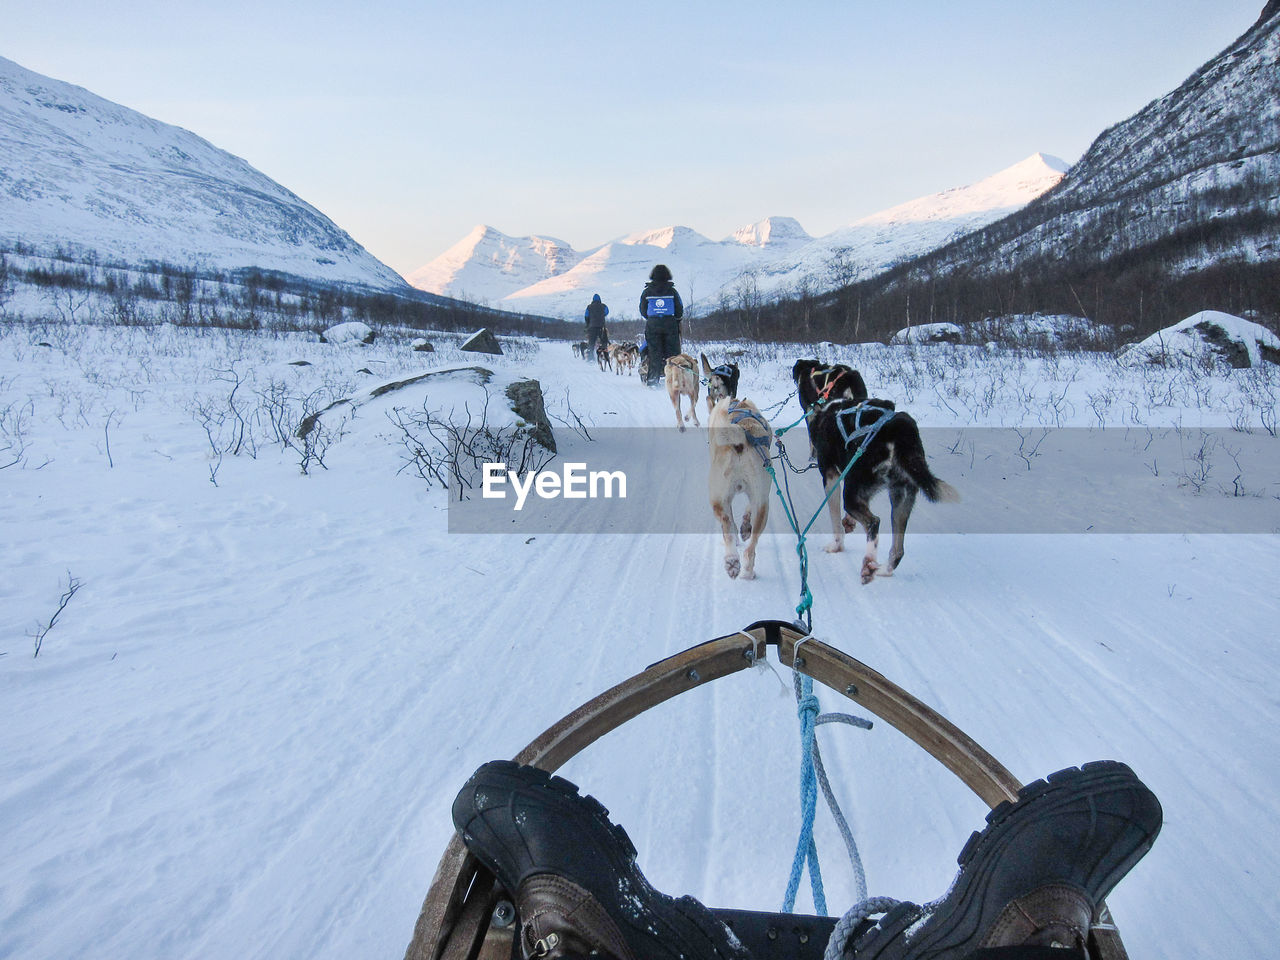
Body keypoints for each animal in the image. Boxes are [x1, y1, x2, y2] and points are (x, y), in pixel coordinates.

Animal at [711, 396, 768, 578]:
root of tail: (740, 443)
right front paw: (744, 527)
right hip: (762, 505)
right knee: (750, 546)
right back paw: (743, 569)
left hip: (717, 499)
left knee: (726, 523)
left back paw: (733, 562)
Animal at [803, 391, 957, 583]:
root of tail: (898, 431)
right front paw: (849, 522)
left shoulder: (831, 477)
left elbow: (835, 519)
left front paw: (836, 546)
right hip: (900, 498)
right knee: (898, 550)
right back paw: (882, 569)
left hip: (852, 495)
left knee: (873, 522)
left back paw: (869, 564)